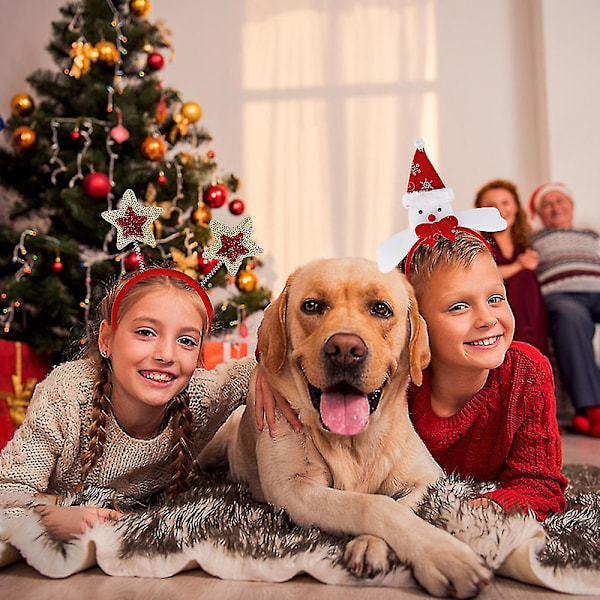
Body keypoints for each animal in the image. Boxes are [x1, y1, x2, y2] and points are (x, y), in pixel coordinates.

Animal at [199, 258, 490, 600]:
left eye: (381, 309)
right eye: (312, 305)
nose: (345, 349)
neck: (353, 443)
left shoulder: (429, 479)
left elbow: (401, 504)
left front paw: (373, 546)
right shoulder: (294, 488)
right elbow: (374, 505)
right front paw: (444, 554)